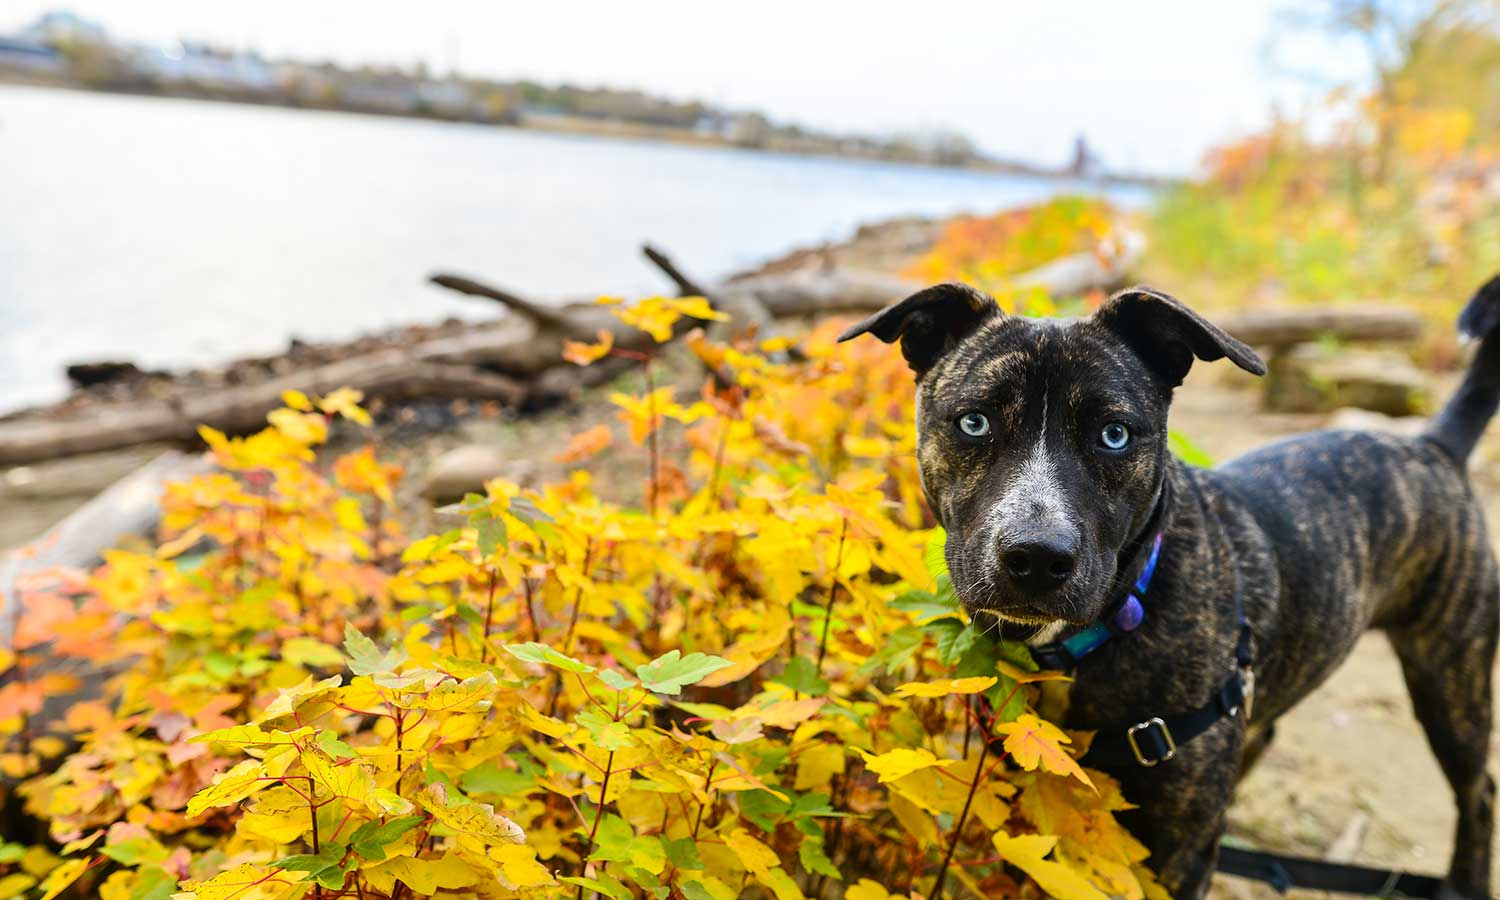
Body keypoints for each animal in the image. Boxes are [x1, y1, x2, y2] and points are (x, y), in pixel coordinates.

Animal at [840, 282, 1500, 900]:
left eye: (1114, 435)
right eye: (973, 422)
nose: (1037, 558)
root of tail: (1434, 444)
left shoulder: (1180, 854)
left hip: (1451, 677)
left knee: (1480, 789)